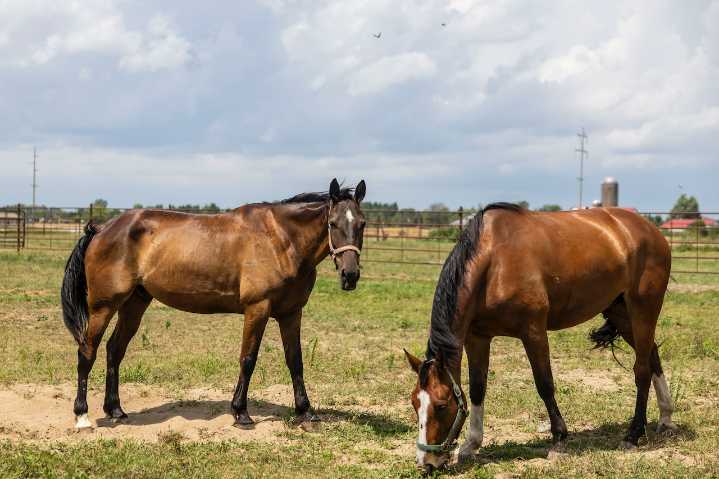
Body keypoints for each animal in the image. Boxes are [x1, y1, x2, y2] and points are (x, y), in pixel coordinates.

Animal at [61, 178, 367, 429]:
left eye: (362, 224)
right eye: (332, 223)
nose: (350, 275)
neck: (281, 239)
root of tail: (102, 228)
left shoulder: (292, 313)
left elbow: (296, 361)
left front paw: (306, 412)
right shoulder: (257, 309)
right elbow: (248, 359)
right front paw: (241, 413)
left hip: (135, 303)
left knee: (115, 350)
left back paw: (115, 410)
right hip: (103, 306)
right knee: (87, 352)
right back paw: (82, 416)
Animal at [404, 203, 676, 472]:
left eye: (441, 405)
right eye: (415, 403)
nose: (426, 463)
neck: (493, 263)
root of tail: (651, 230)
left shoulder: (533, 331)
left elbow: (544, 383)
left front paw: (559, 439)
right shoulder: (477, 338)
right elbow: (477, 389)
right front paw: (472, 444)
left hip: (643, 309)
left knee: (641, 369)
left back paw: (633, 434)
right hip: (620, 312)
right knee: (653, 356)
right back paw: (666, 418)